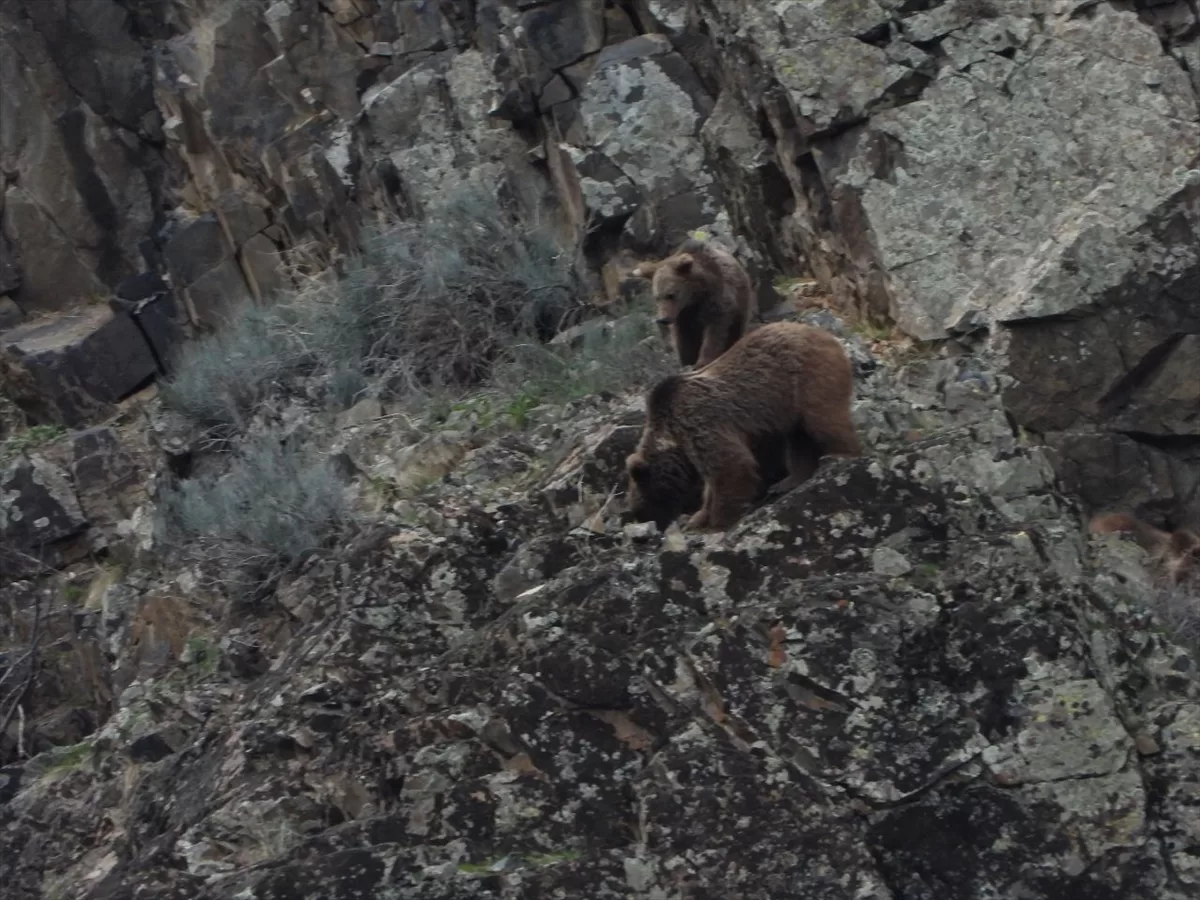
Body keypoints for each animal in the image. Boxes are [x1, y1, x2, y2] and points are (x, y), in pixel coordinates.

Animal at [628, 321, 864, 532]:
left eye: (641, 503)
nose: (650, 525)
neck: (672, 436)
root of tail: (827, 335)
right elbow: (713, 481)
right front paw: (697, 517)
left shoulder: (699, 422)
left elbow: (730, 467)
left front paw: (717, 522)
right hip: (791, 409)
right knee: (799, 440)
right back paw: (787, 481)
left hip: (809, 380)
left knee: (825, 421)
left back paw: (841, 455)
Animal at [633, 237, 753, 372]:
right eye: (657, 297)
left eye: (670, 295)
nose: (663, 319)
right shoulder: (684, 316)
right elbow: (685, 341)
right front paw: (688, 362)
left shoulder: (717, 301)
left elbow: (714, 331)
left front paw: (703, 361)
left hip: (742, 302)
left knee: (736, 329)